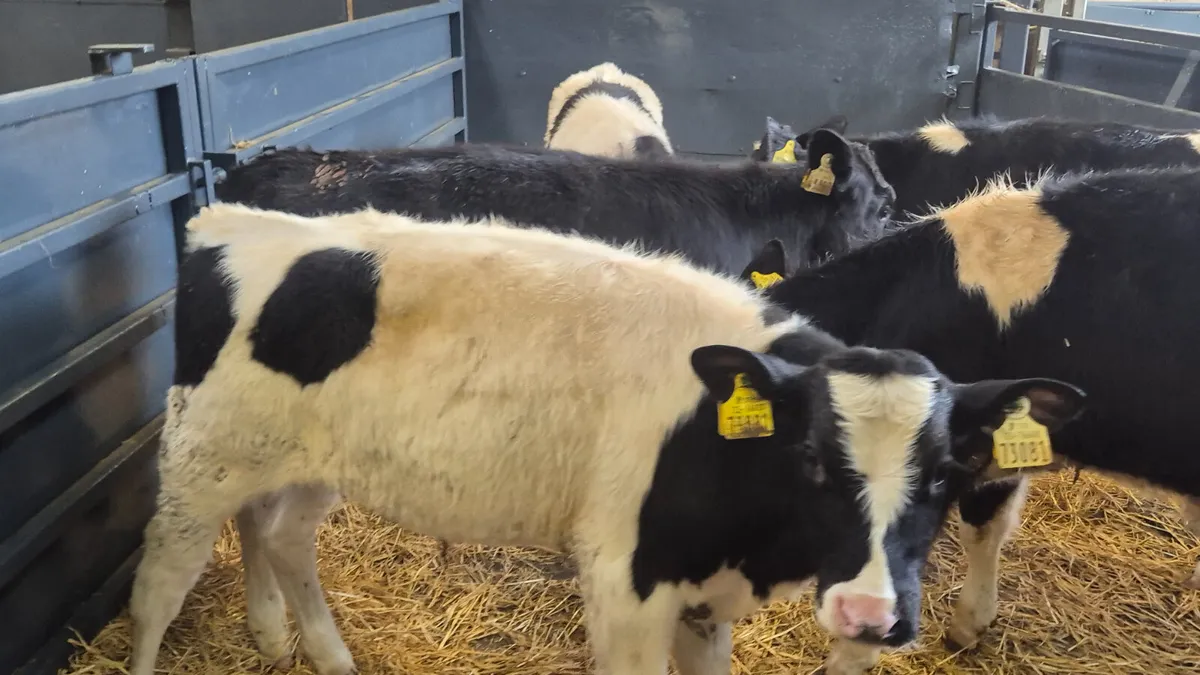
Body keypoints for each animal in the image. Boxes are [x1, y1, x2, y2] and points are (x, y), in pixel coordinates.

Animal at [126, 203, 1085, 675]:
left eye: (948, 472)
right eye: (812, 460)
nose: (869, 615)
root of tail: (234, 218)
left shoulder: (705, 594)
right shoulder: (626, 581)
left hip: (309, 462)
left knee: (280, 534)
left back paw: (312, 651)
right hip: (199, 459)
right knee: (159, 588)